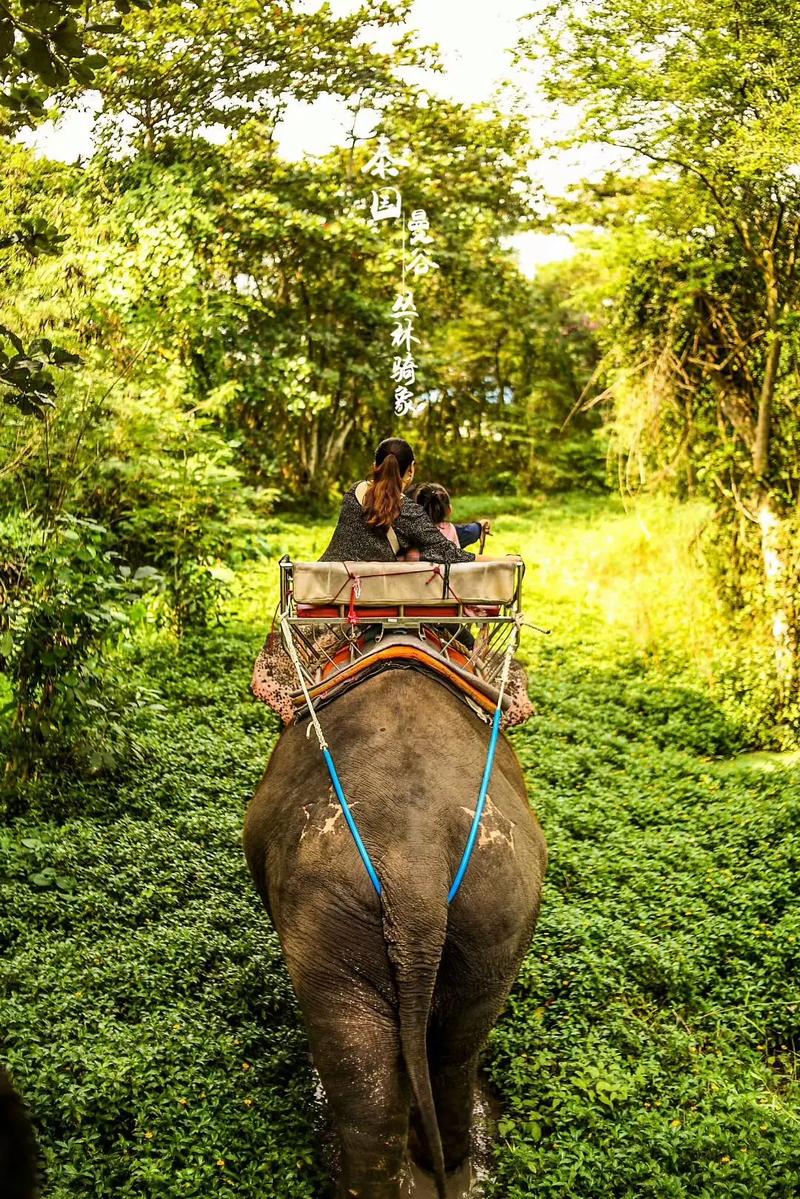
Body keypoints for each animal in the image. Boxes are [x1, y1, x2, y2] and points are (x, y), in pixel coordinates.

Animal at [242, 671, 544, 1194]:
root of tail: (416, 867)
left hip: (329, 916)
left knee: (364, 1080)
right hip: (497, 913)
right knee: (453, 1054)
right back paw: (451, 1171)